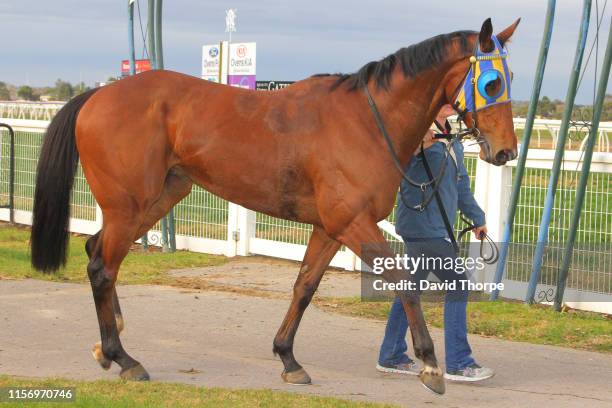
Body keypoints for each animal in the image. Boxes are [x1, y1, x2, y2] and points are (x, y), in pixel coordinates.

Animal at [28, 17, 516, 394]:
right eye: (491, 83)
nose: (506, 151)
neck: (365, 121)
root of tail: (95, 96)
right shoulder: (354, 223)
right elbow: (403, 282)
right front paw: (431, 364)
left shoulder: (329, 227)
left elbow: (304, 287)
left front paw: (288, 358)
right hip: (129, 205)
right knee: (101, 268)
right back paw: (123, 357)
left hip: (158, 198)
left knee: (98, 252)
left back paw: (109, 346)